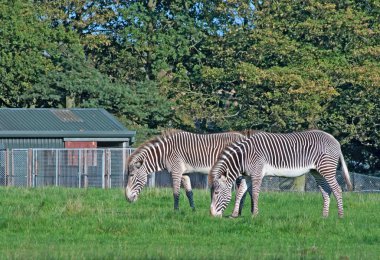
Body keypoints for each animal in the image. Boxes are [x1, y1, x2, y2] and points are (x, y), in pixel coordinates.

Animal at [124, 130, 255, 211]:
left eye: (131, 175)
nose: (127, 199)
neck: (165, 153)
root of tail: (245, 137)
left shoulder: (176, 171)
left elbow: (176, 192)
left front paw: (176, 211)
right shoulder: (184, 173)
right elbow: (189, 192)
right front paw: (193, 210)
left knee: (244, 190)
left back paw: (241, 211)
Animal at [209, 129, 352, 217]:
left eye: (216, 193)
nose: (212, 215)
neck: (243, 157)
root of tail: (334, 140)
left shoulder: (257, 173)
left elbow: (255, 193)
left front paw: (255, 214)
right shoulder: (248, 175)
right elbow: (239, 193)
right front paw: (234, 215)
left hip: (326, 168)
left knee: (337, 189)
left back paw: (340, 215)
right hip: (317, 172)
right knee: (326, 190)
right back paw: (324, 216)